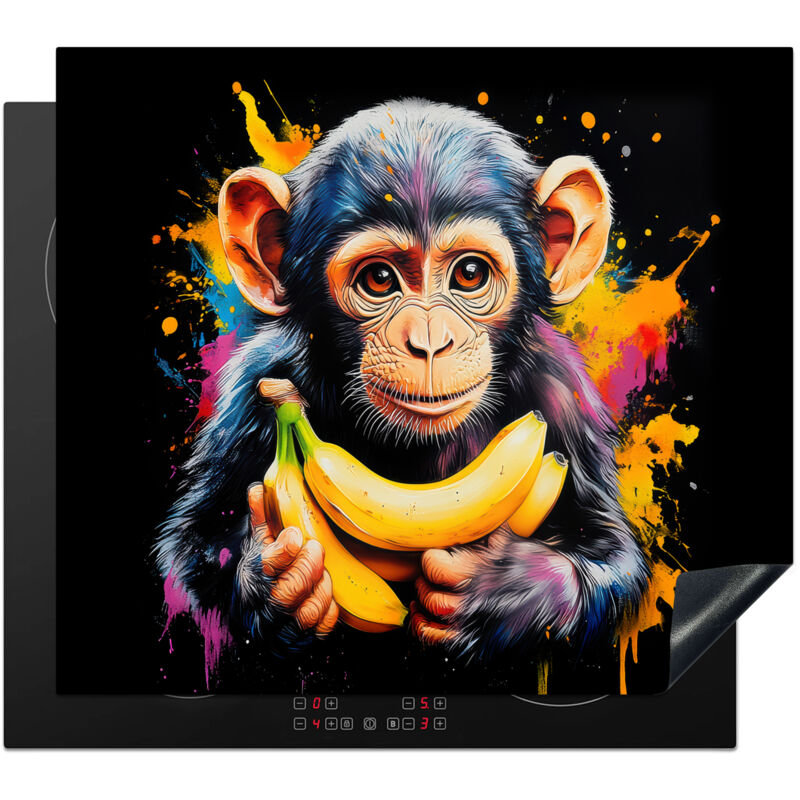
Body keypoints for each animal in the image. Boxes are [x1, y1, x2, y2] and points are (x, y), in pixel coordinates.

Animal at [155, 98, 650, 669]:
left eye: (470, 274)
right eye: (379, 280)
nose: (430, 342)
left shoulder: (563, 392)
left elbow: (613, 553)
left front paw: (500, 592)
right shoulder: (252, 389)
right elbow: (193, 550)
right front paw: (279, 584)